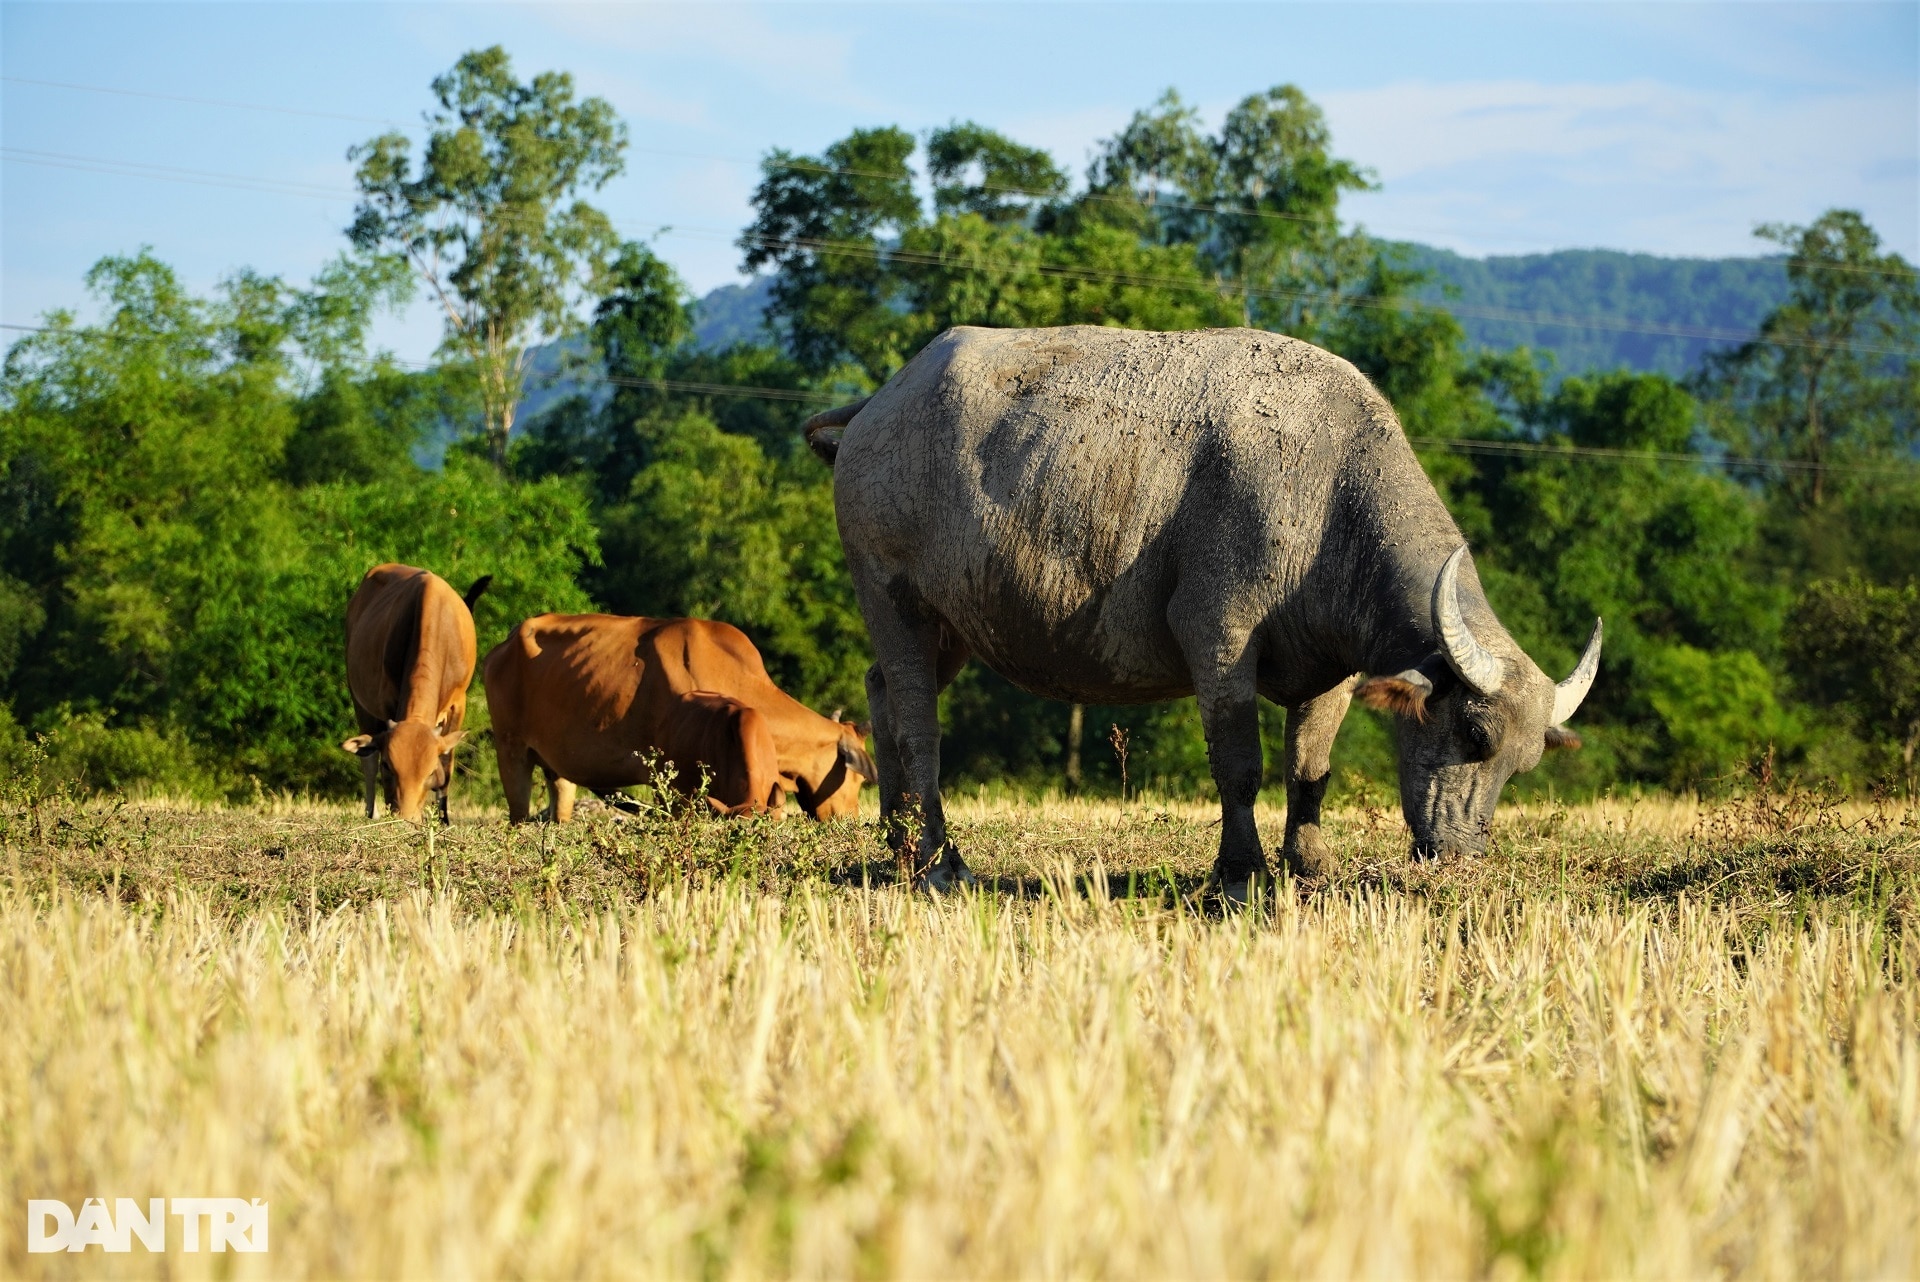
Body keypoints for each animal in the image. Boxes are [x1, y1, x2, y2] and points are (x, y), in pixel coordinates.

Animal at [480, 617, 879, 821]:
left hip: (557, 768)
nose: (850, 822)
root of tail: (506, 641)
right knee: (518, 813)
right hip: (510, 751)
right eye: (858, 778)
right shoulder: (670, 785)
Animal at [802, 326, 1597, 898]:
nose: (1462, 858)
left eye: (1523, 764)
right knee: (919, 725)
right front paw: (1241, 874)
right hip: (893, 597)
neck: (1327, 500)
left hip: (956, 623)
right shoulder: (1219, 637)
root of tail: (879, 404)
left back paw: (896, 843)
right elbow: (1240, 767)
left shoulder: (1334, 674)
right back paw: (940, 861)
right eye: (1471, 734)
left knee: (881, 692)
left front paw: (1308, 866)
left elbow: (1309, 771)